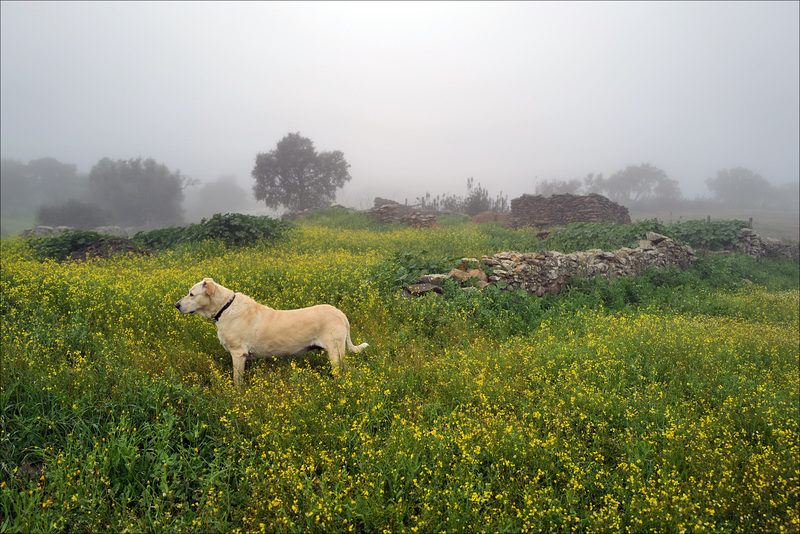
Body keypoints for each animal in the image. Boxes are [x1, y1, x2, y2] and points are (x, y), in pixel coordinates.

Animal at [175, 280, 368, 386]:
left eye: (191, 294)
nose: (176, 305)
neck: (224, 307)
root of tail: (340, 313)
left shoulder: (238, 353)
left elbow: (237, 380)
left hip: (335, 352)